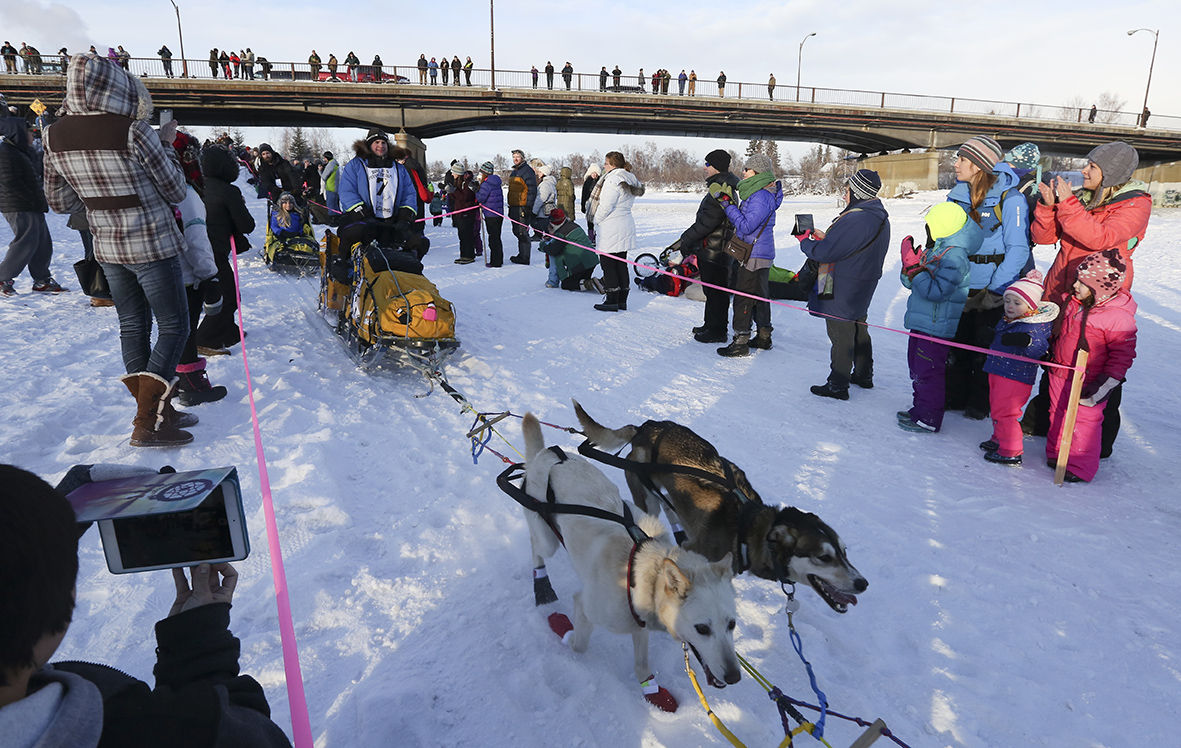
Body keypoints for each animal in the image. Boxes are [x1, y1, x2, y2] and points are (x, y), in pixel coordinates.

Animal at [524, 413, 741, 713]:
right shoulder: (585, 605)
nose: (734, 677)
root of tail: (548, 454)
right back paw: (541, 583)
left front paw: (652, 691)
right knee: (536, 546)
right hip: (548, 539)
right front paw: (566, 634)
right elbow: (579, 644)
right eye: (703, 629)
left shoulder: (639, 624)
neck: (639, 572)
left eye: (731, 624)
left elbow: (641, 665)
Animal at [573, 401, 869, 614]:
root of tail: (647, 427)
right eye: (823, 557)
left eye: (844, 552)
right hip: (648, 499)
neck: (745, 529)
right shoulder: (695, 549)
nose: (862, 583)